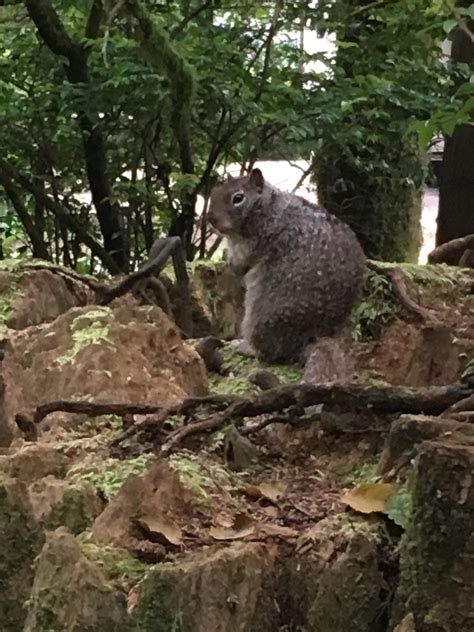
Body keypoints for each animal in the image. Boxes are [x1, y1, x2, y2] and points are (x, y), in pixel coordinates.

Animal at [207, 167, 366, 380]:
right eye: (215, 191)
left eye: (238, 198)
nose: (211, 219)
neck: (270, 207)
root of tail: (312, 336)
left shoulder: (255, 242)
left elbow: (239, 265)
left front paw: (226, 257)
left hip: (258, 319)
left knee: (269, 354)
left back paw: (245, 347)